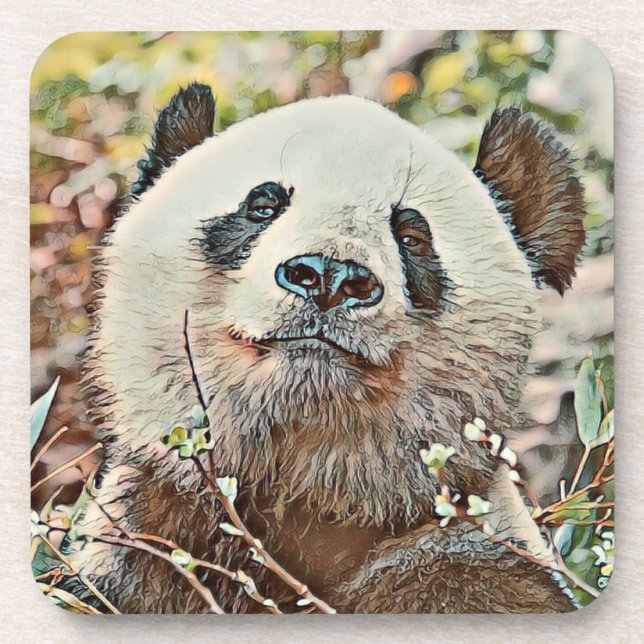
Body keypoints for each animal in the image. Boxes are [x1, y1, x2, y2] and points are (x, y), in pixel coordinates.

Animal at [67, 83, 585, 614]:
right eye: (262, 207)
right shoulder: (150, 534)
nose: (329, 277)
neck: (308, 494)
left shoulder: (467, 547)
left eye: (412, 237)